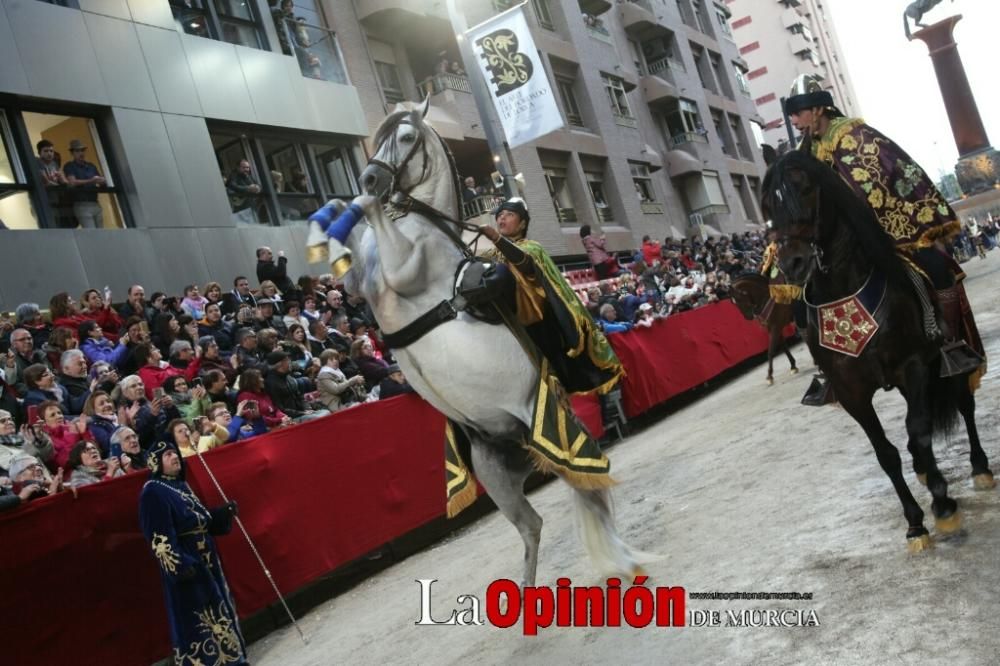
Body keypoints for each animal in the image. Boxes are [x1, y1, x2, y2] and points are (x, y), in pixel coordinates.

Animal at [308, 101, 644, 584]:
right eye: (378, 138)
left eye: (406, 138)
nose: (370, 178)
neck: (422, 224)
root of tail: (523, 440)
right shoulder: (359, 286)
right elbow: (350, 250)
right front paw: (327, 222)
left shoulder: (404, 268)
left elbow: (372, 219)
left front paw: (356, 206)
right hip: (493, 470)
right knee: (534, 524)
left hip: (558, 440)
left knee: (590, 491)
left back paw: (623, 562)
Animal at [764, 148, 992, 552]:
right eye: (768, 203)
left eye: (805, 188)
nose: (792, 263)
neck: (845, 292)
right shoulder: (850, 391)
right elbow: (886, 453)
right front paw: (915, 523)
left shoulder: (912, 365)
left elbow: (919, 431)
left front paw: (943, 505)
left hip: (951, 358)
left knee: (964, 404)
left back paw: (979, 468)